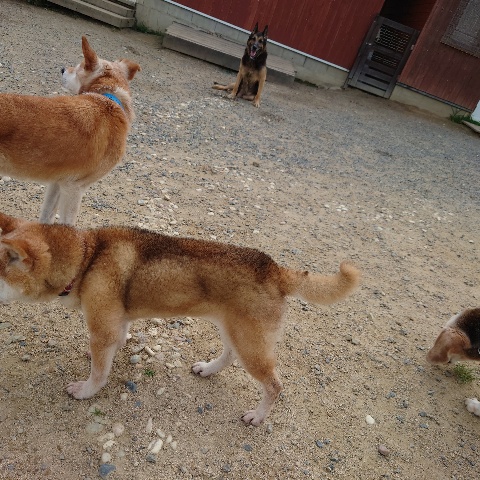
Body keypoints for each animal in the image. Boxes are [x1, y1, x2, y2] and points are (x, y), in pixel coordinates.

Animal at [0, 36, 140, 225]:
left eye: (79, 66)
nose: (62, 69)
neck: (110, 98)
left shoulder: (58, 183)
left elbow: (47, 217)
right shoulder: (74, 188)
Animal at [0, 212, 360, 426]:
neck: (87, 257)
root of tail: (276, 271)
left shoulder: (101, 328)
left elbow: (99, 372)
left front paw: (86, 390)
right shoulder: (115, 320)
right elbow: (118, 339)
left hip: (251, 343)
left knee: (274, 385)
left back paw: (257, 416)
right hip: (235, 331)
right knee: (229, 356)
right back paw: (208, 369)